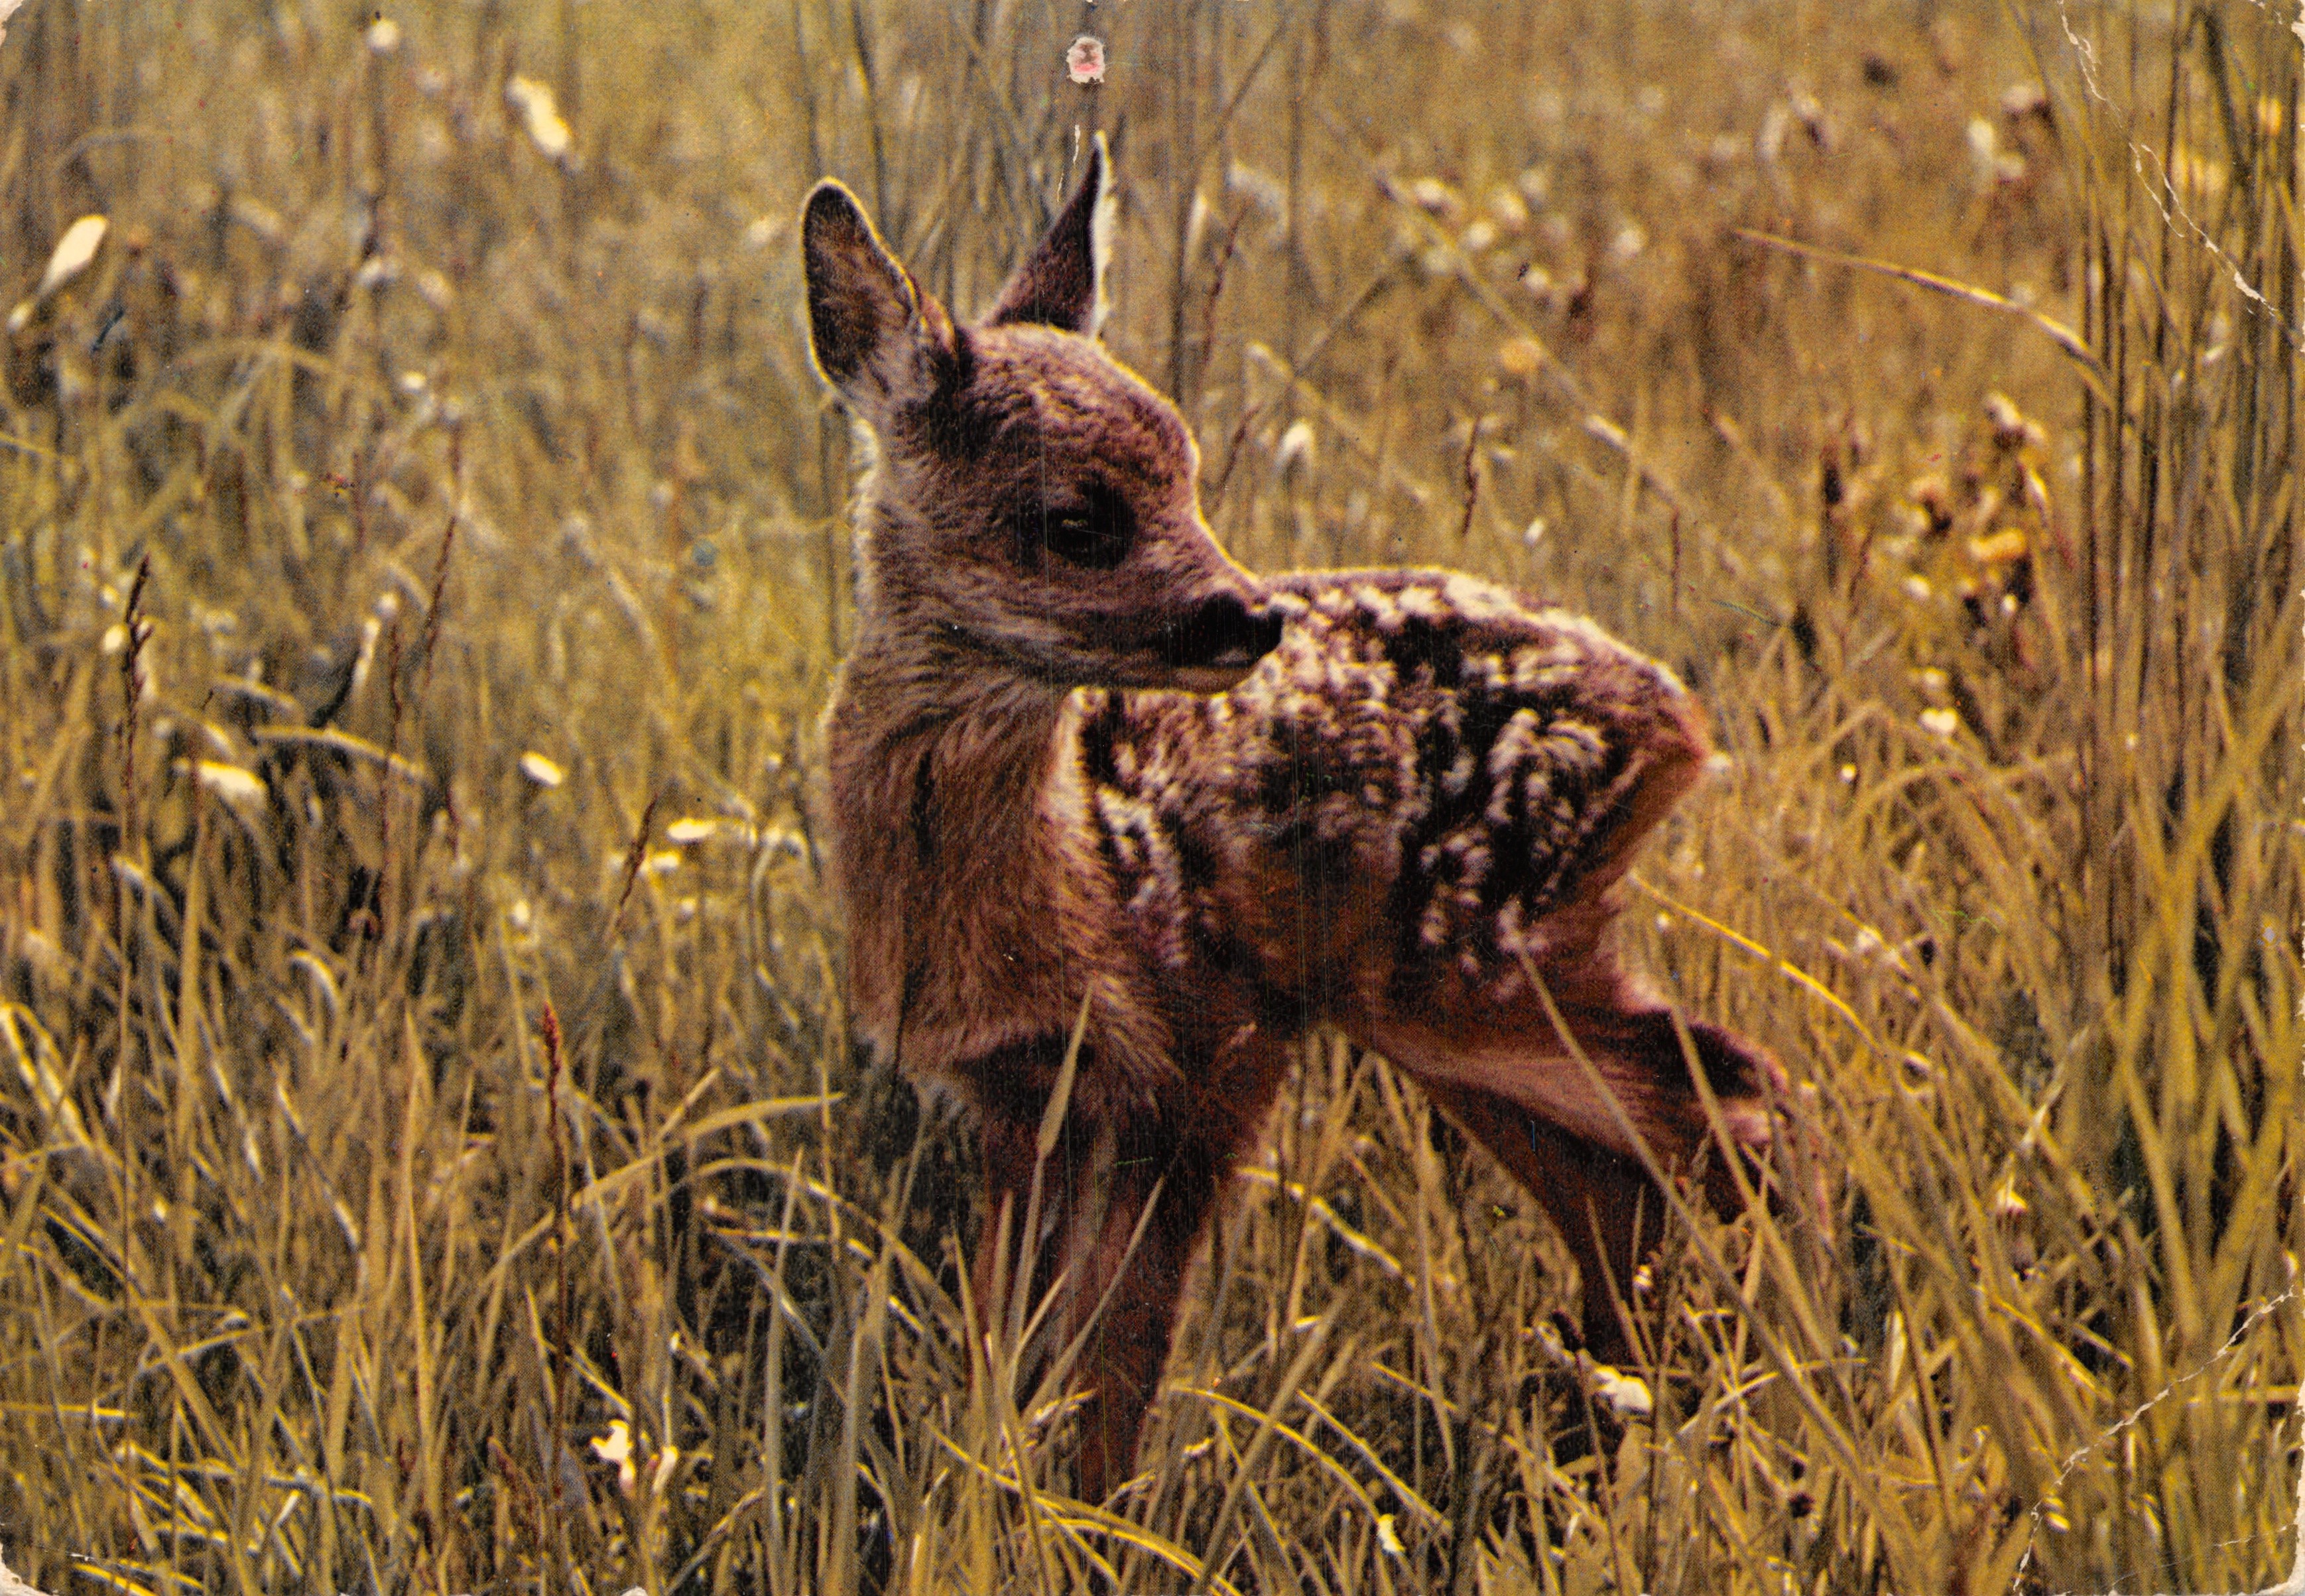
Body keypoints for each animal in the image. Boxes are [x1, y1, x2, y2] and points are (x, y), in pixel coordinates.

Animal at [801, 139, 1789, 1505]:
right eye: (1077, 520)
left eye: (1187, 471)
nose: (1248, 615)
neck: (1064, 872)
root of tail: (1676, 718)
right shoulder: (1017, 1089)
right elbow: (1012, 1334)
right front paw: (988, 1500)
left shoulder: (1214, 1036)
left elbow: (1122, 1342)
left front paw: (1094, 1516)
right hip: (1456, 999)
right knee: (1631, 1168)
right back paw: (1619, 1418)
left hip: (1464, 967)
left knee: (1733, 1100)